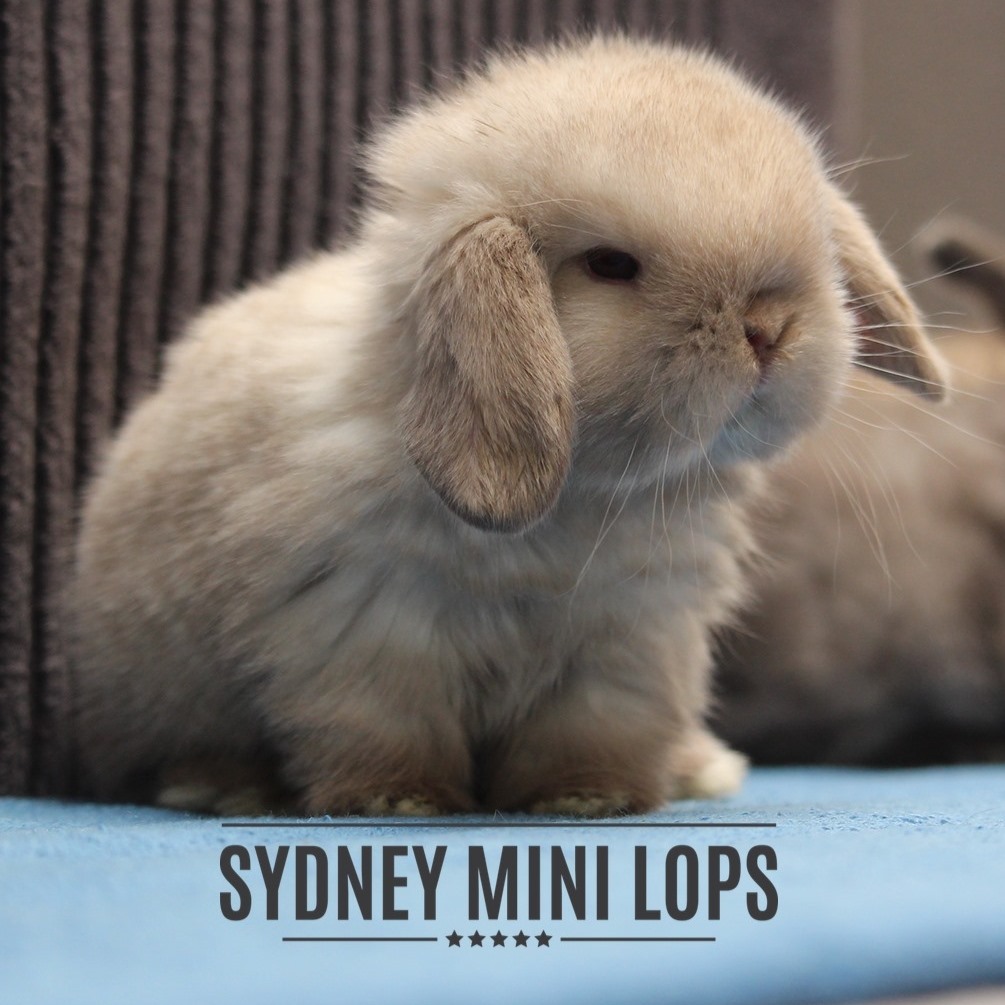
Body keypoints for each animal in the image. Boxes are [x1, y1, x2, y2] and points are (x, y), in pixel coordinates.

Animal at [67, 36, 948, 817]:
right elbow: (386, 733)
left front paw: (586, 800)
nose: (766, 329)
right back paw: (221, 787)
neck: (582, 501)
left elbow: (588, 734)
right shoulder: (368, 638)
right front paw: (399, 802)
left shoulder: (628, 642)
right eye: (608, 265)